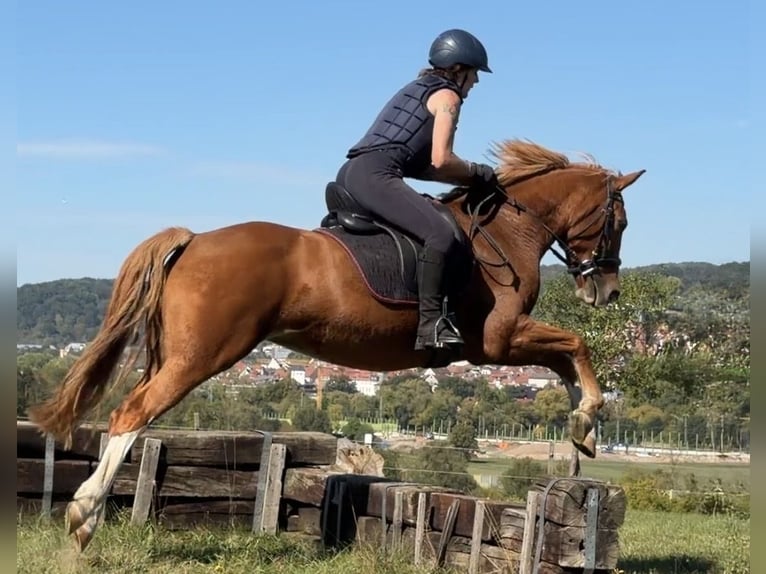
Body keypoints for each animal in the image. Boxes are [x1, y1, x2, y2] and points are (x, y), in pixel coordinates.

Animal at [28, 138, 645, 551]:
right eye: (618, 222)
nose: (607, 291)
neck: (506, 231)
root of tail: (194, 239)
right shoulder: (497, 341)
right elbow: (576, 345)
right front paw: (588, 415)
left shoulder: (506, 344)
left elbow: (565, 358)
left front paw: (582, 430)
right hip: (200, 356)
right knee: (132, 413)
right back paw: (83, 516)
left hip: (172, 353)